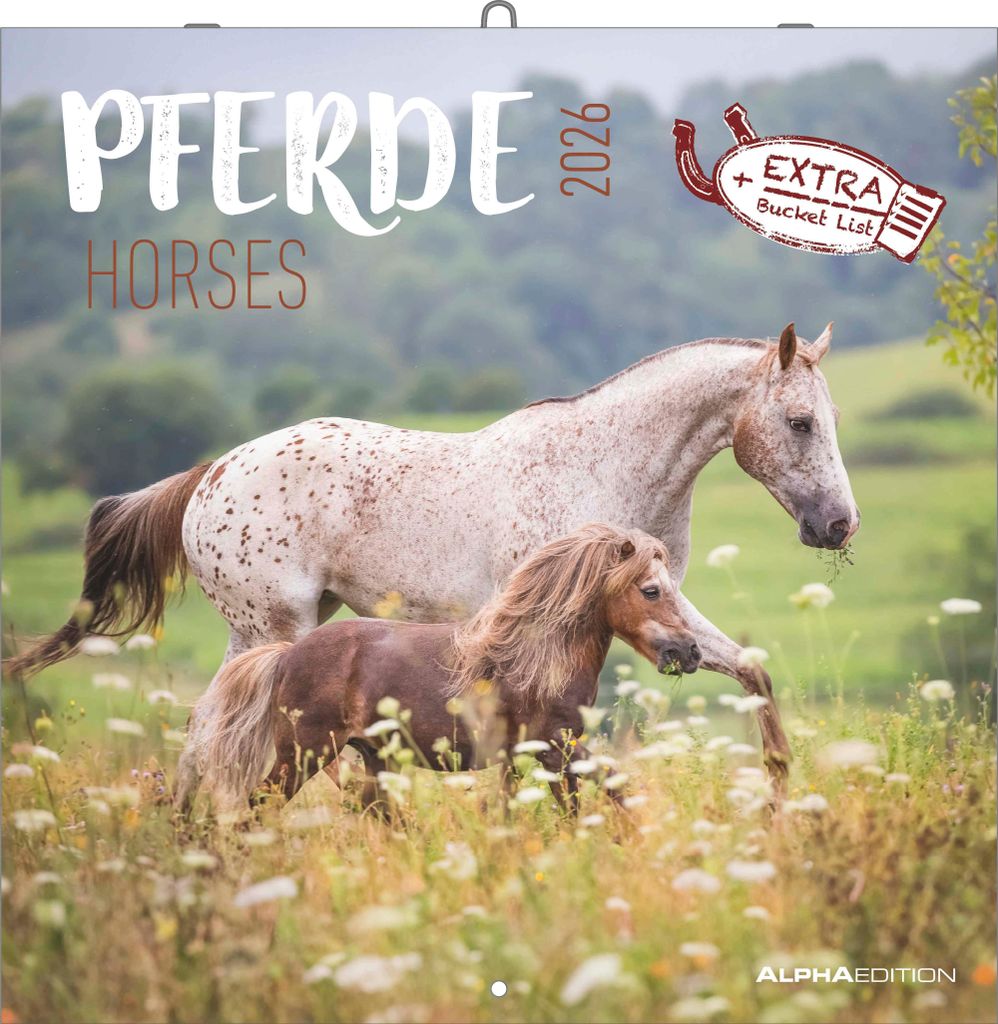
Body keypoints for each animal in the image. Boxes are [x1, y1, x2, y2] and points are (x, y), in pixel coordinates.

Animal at [187, 523, 702, 813]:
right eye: (651, 590)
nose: (690, 652)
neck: (535, 661)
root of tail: (285, 656)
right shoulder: (556, 750)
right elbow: (595, 799)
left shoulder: (539, 755)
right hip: (304, 754)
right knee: (260, 805)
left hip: (369, 760)